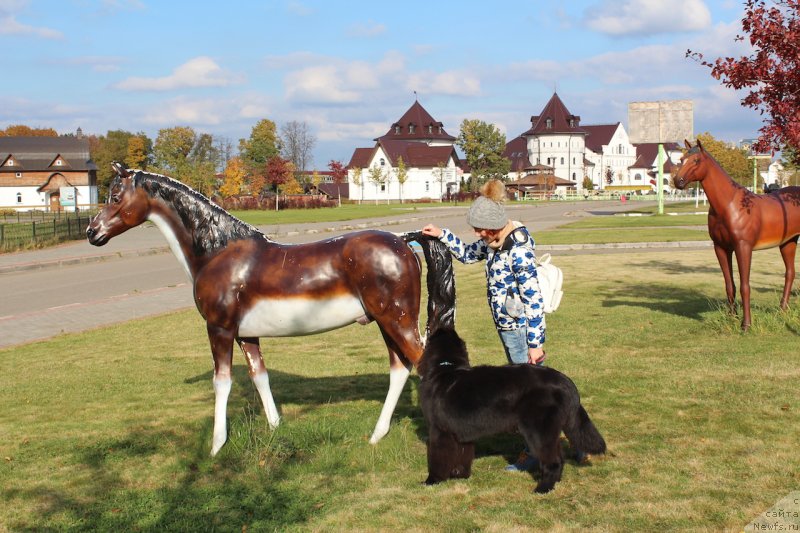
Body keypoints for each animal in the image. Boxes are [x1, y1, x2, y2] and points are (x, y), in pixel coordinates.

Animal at [418, 328, 608, 494]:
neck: (445, 369)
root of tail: (564, 380)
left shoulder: (439, 431)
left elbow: (438, 458)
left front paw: (432, 480)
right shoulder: (461, 434)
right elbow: (462, 456)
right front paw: (460, 476)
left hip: (538, 431)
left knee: (553, 461)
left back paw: (542, 489)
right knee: (560, 458)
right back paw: (555, 483)